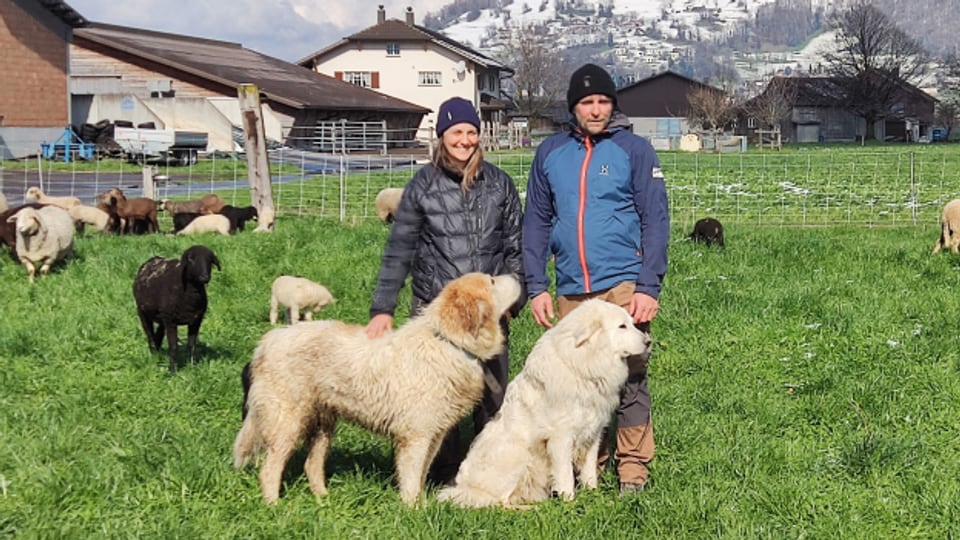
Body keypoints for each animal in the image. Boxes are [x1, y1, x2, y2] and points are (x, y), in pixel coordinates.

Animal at [132, 244, 222, 372]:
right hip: (142, 312)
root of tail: (153, 259)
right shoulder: (171, 321)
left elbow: (191, 345)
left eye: (210, 260)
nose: (204, 277)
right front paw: (172, 370)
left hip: (162, 316)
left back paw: (158, 353)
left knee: (159, 334)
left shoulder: (196, 320)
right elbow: (173, 346)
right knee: (150, 335)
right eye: (191, 259)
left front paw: (191, 366)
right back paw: (154, 356)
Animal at [232, 274, 516, 506]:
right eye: (491, 280)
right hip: (286, 423)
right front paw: (413, 512)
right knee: (269, 468)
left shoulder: (434, 434)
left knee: (311, 465)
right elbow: (412, 478)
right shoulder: (416, 436)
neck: (449, 343)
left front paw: (423, 506)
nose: (516, 274)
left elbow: (422, 474)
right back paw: (275, 507)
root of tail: (267, 342)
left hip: (322, 425)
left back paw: (324, 500)